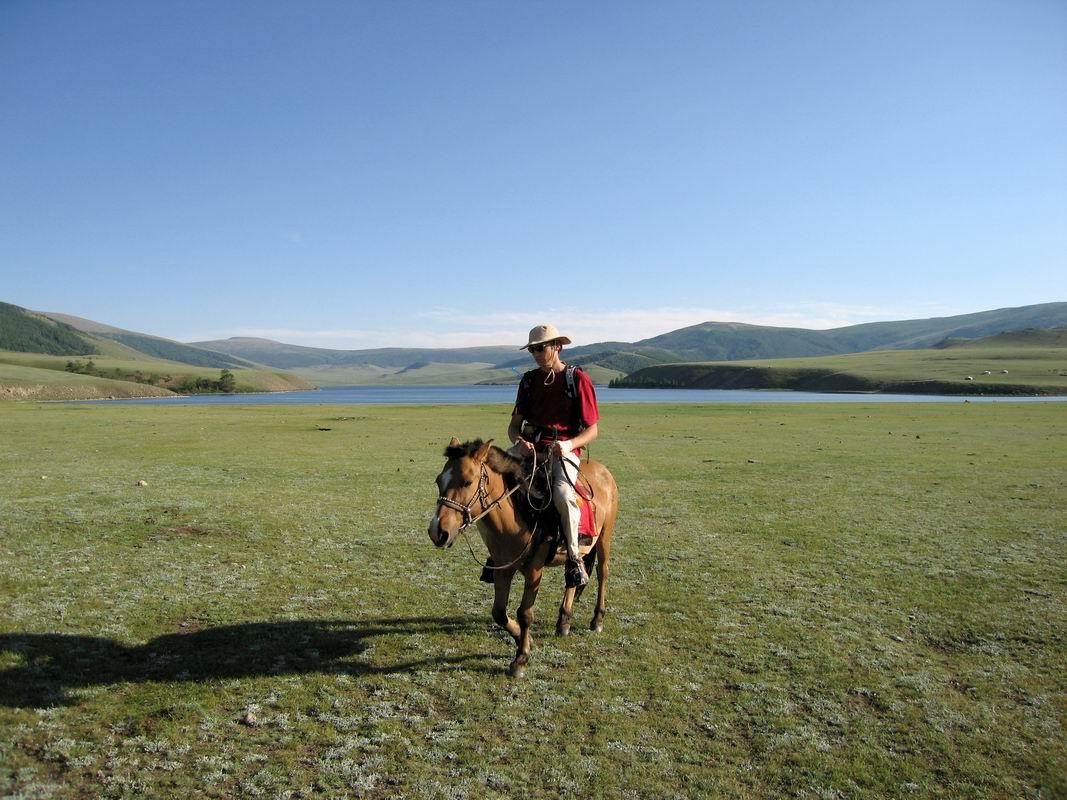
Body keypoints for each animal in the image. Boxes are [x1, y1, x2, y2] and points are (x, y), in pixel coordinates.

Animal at [428, 439, 623, 678]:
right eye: (439, 481)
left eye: (467, 482)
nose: (437, 531)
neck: (520, 514)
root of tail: (603, 470)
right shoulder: (503, 569)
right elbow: (499, 612)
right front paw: (523, 637)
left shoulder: (534, 570)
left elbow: (525, 613)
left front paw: (521, 658)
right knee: (572, 574)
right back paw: (564, 620)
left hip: (605, 536)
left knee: (603, 572)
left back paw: (597, 619)